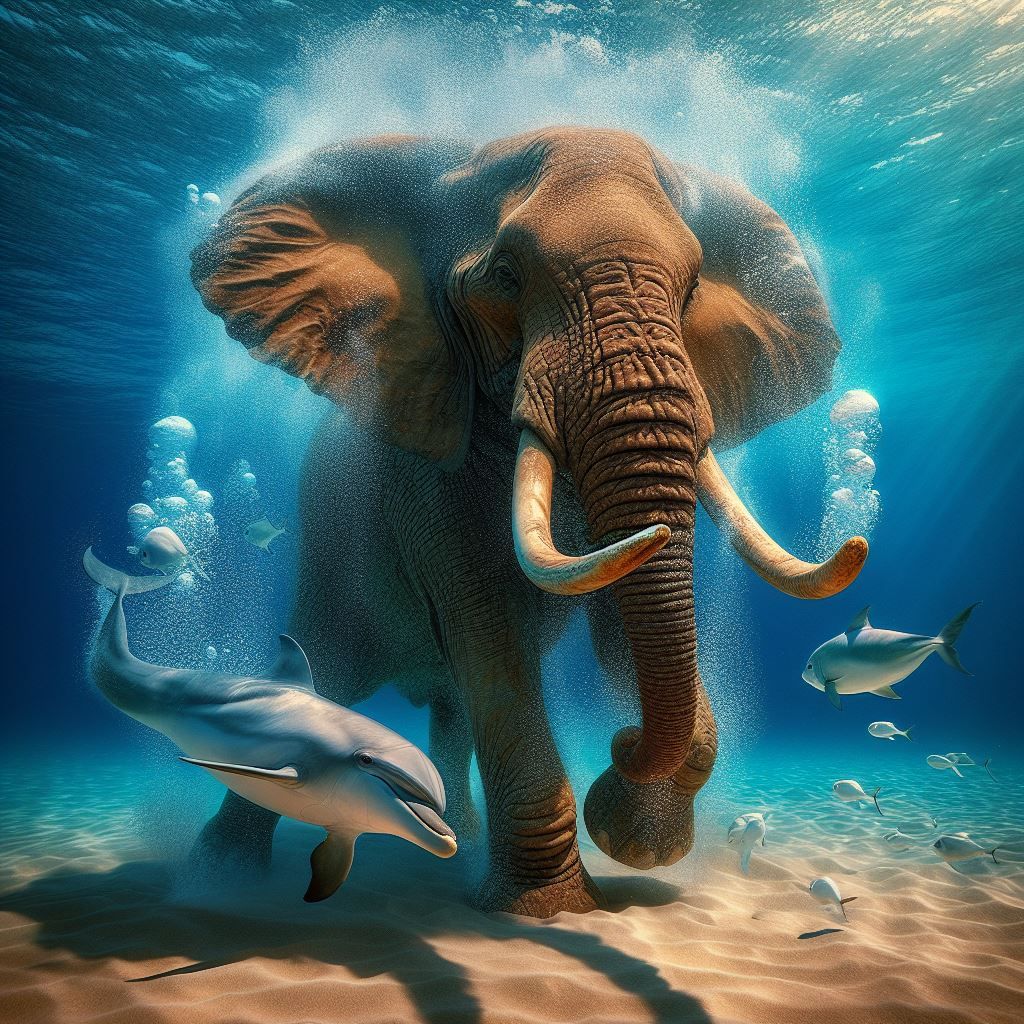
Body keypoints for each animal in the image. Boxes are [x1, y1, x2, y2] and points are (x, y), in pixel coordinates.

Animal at [189, 127, 867, 917]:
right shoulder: (423, 471)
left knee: (450, 712)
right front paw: (551, 908)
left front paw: (639, 842)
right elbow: (492, 629)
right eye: (506, 277)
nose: (622, 741)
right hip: (331, 570)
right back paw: (220, 879)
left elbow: (622, 621)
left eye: (694, 286)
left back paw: (451, 842)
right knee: (324, 679)